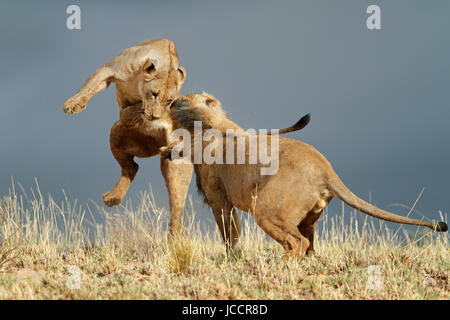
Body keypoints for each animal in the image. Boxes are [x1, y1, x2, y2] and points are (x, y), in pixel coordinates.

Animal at [163, 93, 446, 260]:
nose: (170, 101)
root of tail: (327, 171)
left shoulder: (219, 199)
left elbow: (229, 233)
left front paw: (231, 259)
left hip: (267, 211)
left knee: (296, 242)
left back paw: (281, 265)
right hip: (308, 216)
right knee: (310, 246)